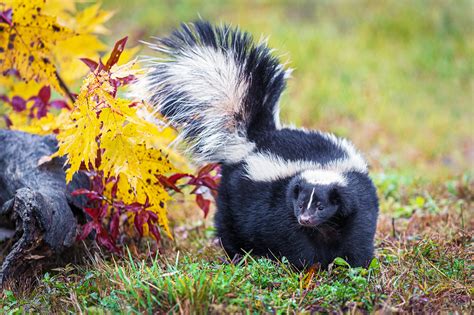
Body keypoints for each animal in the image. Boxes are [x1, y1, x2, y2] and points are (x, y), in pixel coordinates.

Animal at [131, 21, 380, 270]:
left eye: (320, 207)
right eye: (300, 205)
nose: (305, 219)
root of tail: (255, 138)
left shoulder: (357, 204)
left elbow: (357, 236)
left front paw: (356, 265)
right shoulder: (279, 207)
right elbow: (294, 240)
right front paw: (308, 266)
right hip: (233, 193)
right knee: (228, 224)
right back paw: (236, 254)